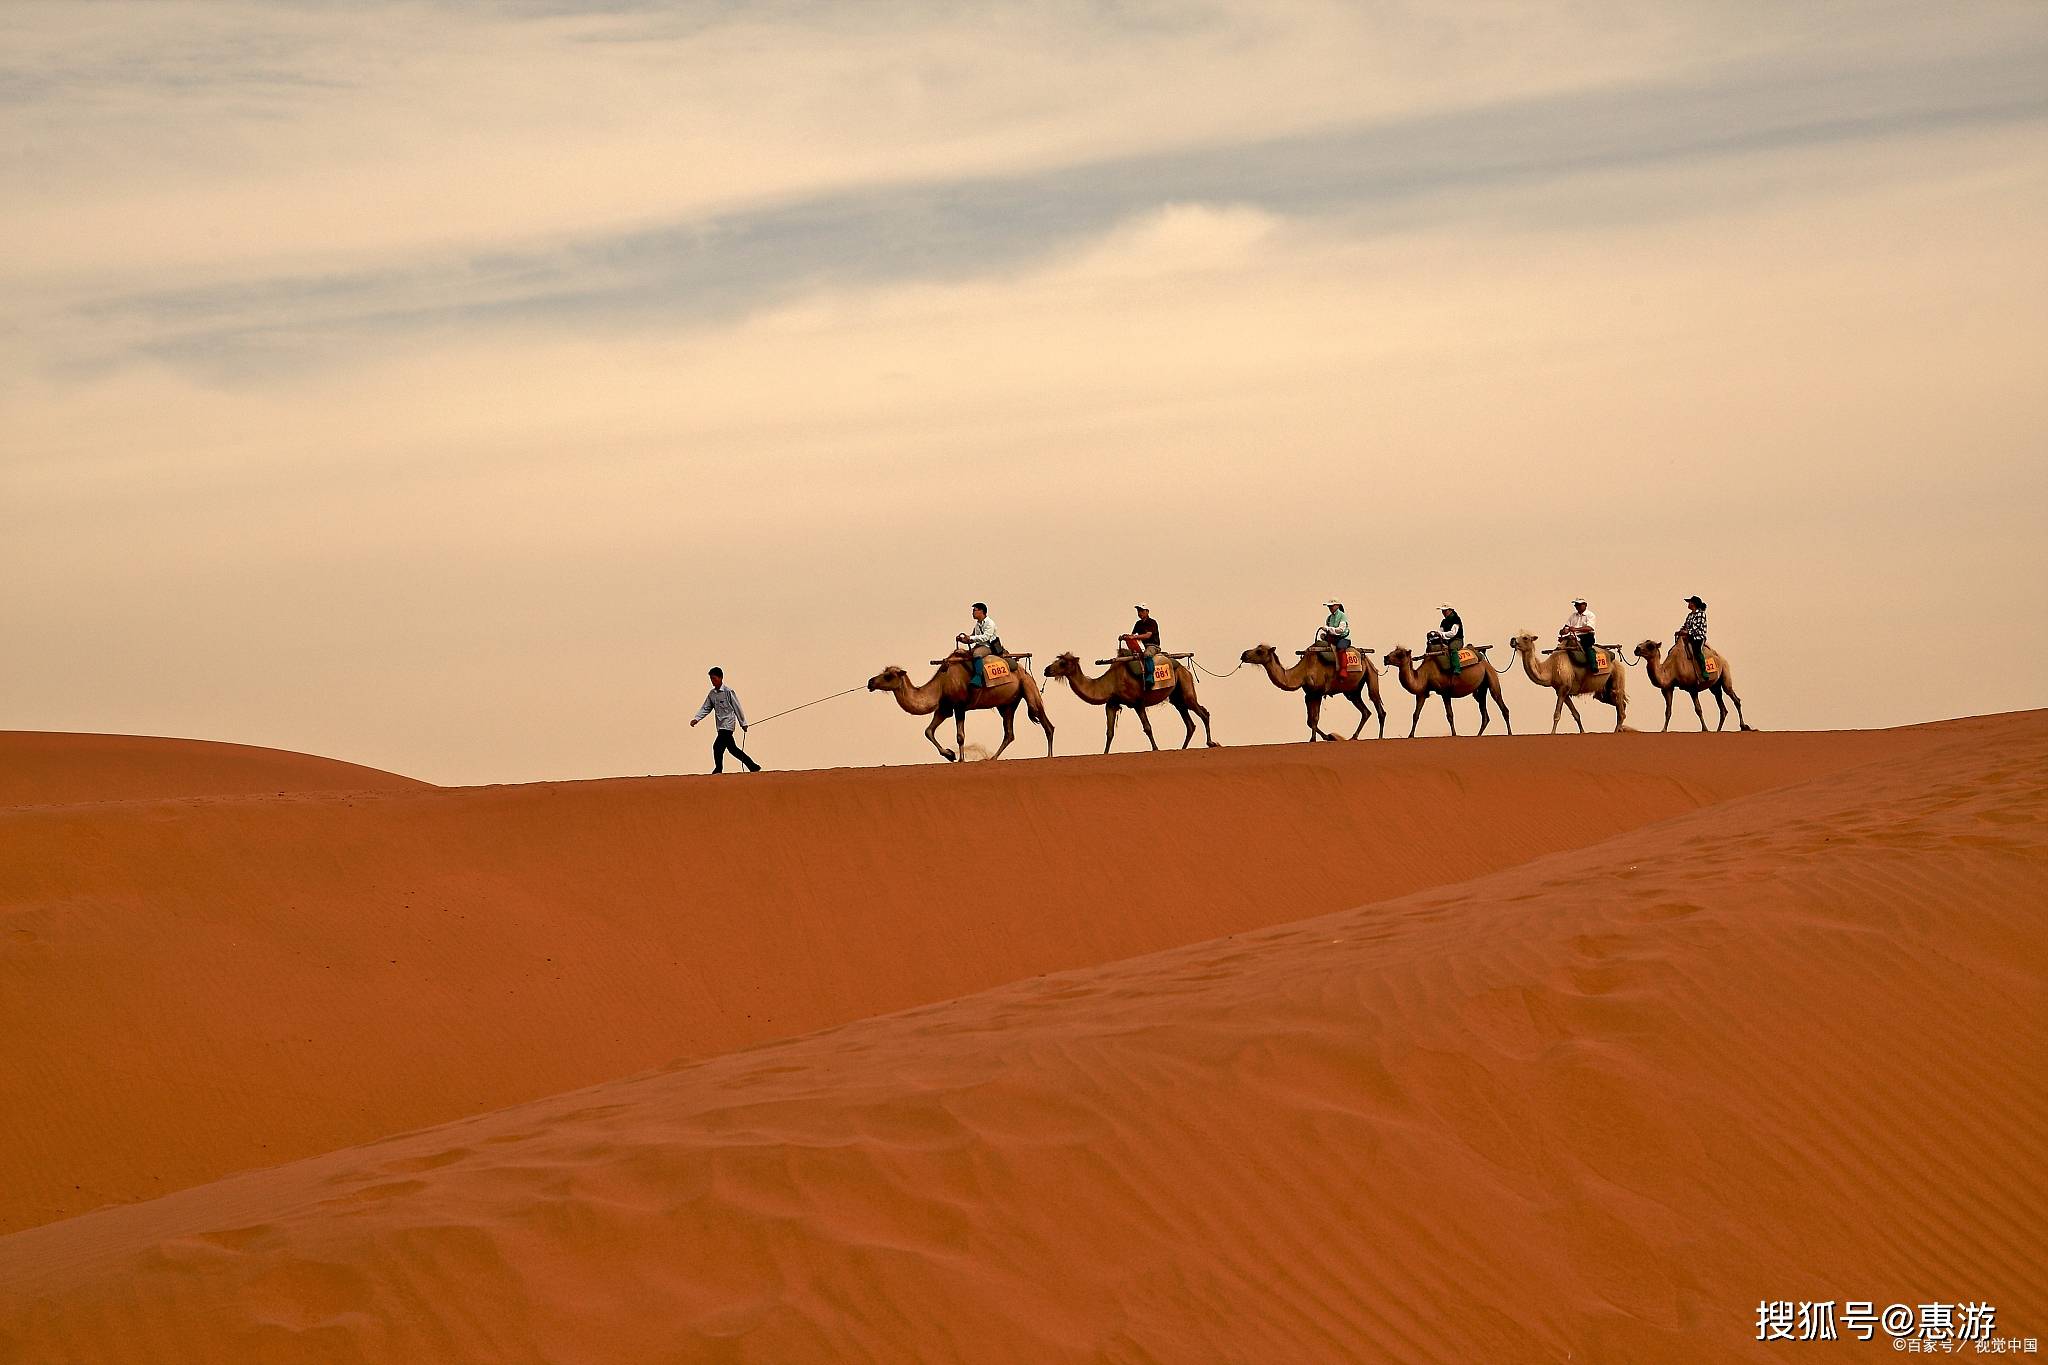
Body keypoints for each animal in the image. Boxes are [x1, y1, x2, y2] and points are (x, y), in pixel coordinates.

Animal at [864, 654, 1056, 765]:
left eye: (888, 676)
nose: (870, 682)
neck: (940, 685)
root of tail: (1023, 670)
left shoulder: (959, 706)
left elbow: (960, 736)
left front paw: (961, 759)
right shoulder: (944, 708)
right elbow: (928, 731)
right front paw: (949, 755)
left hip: (1028, 687)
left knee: (1046, 723)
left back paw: (1049, 756)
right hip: (1007, 704)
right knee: (1009, 733)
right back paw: (992, 758)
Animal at [1048, 654, 1204, 753]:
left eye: (1062, 663)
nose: (1046, 670)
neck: (1111, 683)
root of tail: (1183, 668)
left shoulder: (1138, 703)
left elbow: (1147, 728)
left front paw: (1155, 749)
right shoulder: (1111, 704)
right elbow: (1109, 732)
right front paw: (1105, 753)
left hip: (1185, 686)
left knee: (1203, 712)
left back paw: (1208, 743)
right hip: (1177, 698)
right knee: (1190, 723)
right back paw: (1183, 748)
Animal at [1228, 642, 1392, 740]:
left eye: (1260, 651)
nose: (1244, 654)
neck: (1302, 671)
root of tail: (1366, 658)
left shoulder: (1318, 693)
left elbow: (1315, 718)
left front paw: (1316, 739)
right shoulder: (1308, 694)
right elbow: (1309, 720)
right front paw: (1328, 737)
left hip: (1371, 675)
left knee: (1378, 705)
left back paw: (1380, 737)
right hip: (1352, 691)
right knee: (1365, 711)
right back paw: (1353, 737)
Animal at [1384, 642, 1515, 736]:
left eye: (1400, 654)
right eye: (1392, 651)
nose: (1385, 658)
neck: (1425, 674)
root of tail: (1486, 663)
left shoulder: (1445, 692)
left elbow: (1450, 715)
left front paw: (1454, 734)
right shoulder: (1422, 692)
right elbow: (1415, 715)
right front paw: (1410, 735)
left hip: (1492, 678)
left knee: (1502, 705)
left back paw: (1510, 733)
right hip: (1481, 687)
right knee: (1484, 714)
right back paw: (1478, 735)